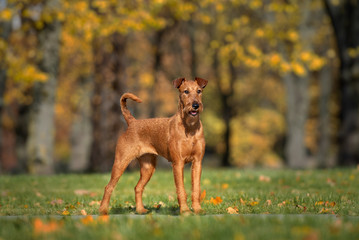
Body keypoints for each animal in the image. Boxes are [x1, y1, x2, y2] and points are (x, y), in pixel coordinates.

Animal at [100, 77, 210, 216]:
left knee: (138, 187)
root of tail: (132, 122)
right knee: (108, 187)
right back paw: (103, 210)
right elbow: (181, 189)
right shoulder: (178, 163)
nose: (196, 105)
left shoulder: (197, 162)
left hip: (148, 167)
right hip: (121, 162)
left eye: (199, 91)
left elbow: (196, 189)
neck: (190, 128)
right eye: (186, 91)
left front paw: (197, 210)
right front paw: (185, 211)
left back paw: (140, 210)